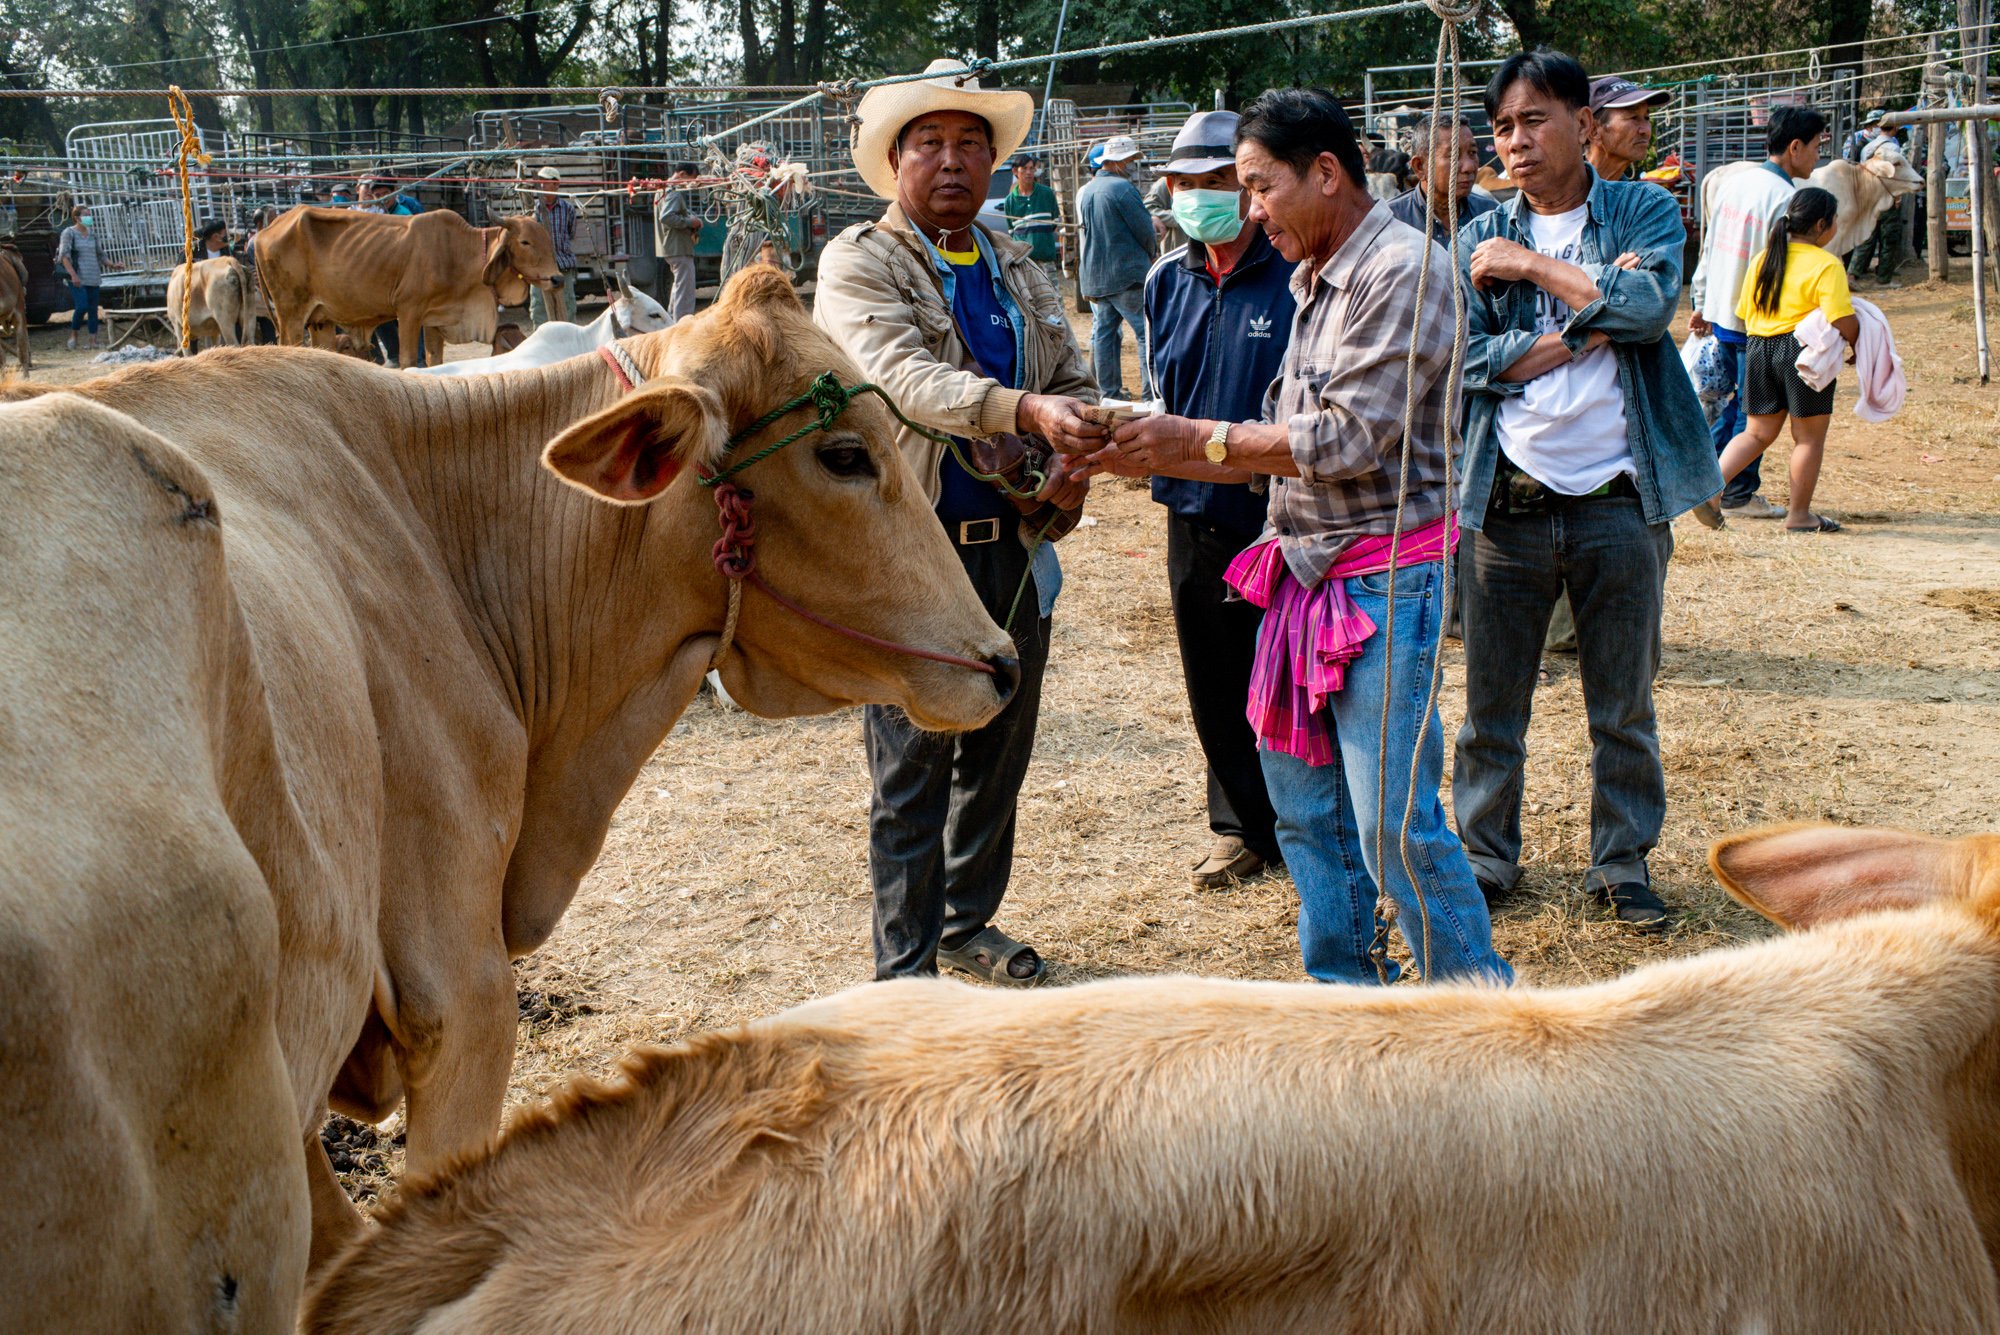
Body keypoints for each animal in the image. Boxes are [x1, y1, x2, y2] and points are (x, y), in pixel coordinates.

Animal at [256, 206, 564, 365]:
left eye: (547, 238)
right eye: (525, 241)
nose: (557, 278)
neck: (460, 253)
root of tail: (264, 230)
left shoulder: (436, 319)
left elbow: (434, 359)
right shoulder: (408, 312)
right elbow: (407, 360)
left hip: (321, 320)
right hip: (291, 314)